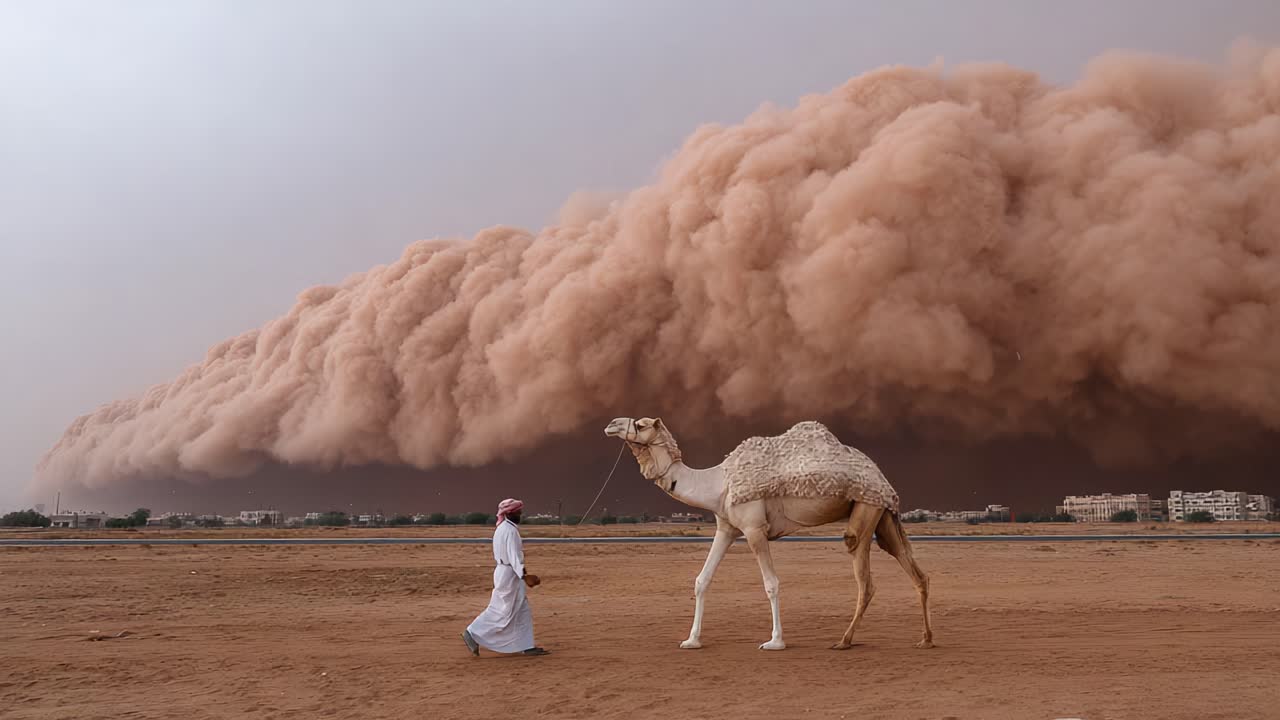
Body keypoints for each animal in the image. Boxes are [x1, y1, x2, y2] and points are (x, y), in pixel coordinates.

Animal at [603, 417, 933, 651]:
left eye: (641, 424)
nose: (611, 424)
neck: (717, 482)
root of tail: (881, 477)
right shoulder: (726, 527)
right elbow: (702, 580)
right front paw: (691, 640)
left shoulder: (753, 529)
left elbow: (771, 583)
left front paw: (775, 641)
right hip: (882, 514)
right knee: (916, 572)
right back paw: (926, 639)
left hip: (866, 508)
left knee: (865, 579)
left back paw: (844, 640)